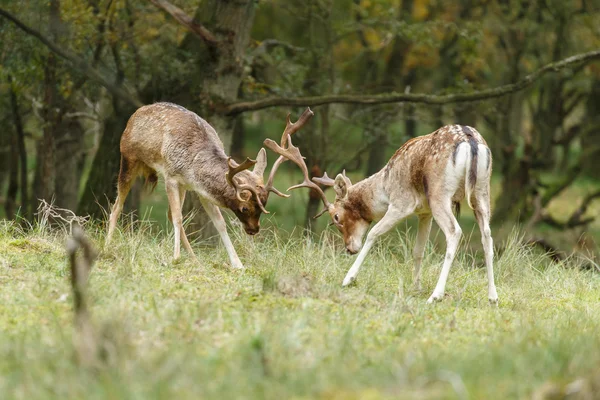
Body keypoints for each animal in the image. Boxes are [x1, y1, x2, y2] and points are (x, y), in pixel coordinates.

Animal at [106, 101, 314, 268]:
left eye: (264, 205)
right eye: (245, 208)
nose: (254, 230)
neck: (192, 164)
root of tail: (134, 114)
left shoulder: (200, 190)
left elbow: (219, 223)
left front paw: (238, 263)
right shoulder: (171, 177)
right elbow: (178, 218)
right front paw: (175, 257)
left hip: (180, 187)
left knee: (169, 213)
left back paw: (194, 258)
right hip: (128, 158)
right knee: (117, 206)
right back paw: (108, 245)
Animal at [264, 125, 500, 304]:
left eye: (336, 218)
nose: (349, 248)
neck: (384, 188)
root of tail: (471, 142)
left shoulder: (402, 203)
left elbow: (374, 233)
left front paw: (348, 278)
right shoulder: (424, 212)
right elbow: (418, 250)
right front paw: (415, 287)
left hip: (439, 193)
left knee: (454, 231)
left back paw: (436, 295)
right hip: (482, 192)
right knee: (487, 236)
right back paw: (492, 297)